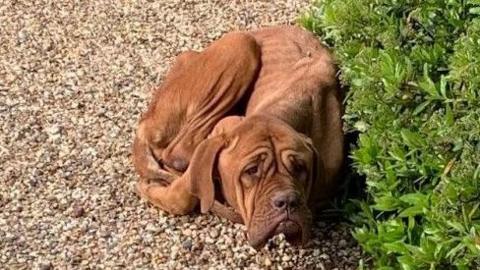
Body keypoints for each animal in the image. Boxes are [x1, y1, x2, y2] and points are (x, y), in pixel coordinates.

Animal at [131, 25, 344, 249]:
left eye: (301, 168)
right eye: (251, 171)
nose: (287, 201)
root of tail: (145, 122)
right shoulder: (221, 131)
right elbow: (181, 196)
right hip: (240, 44)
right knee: (179, 154)